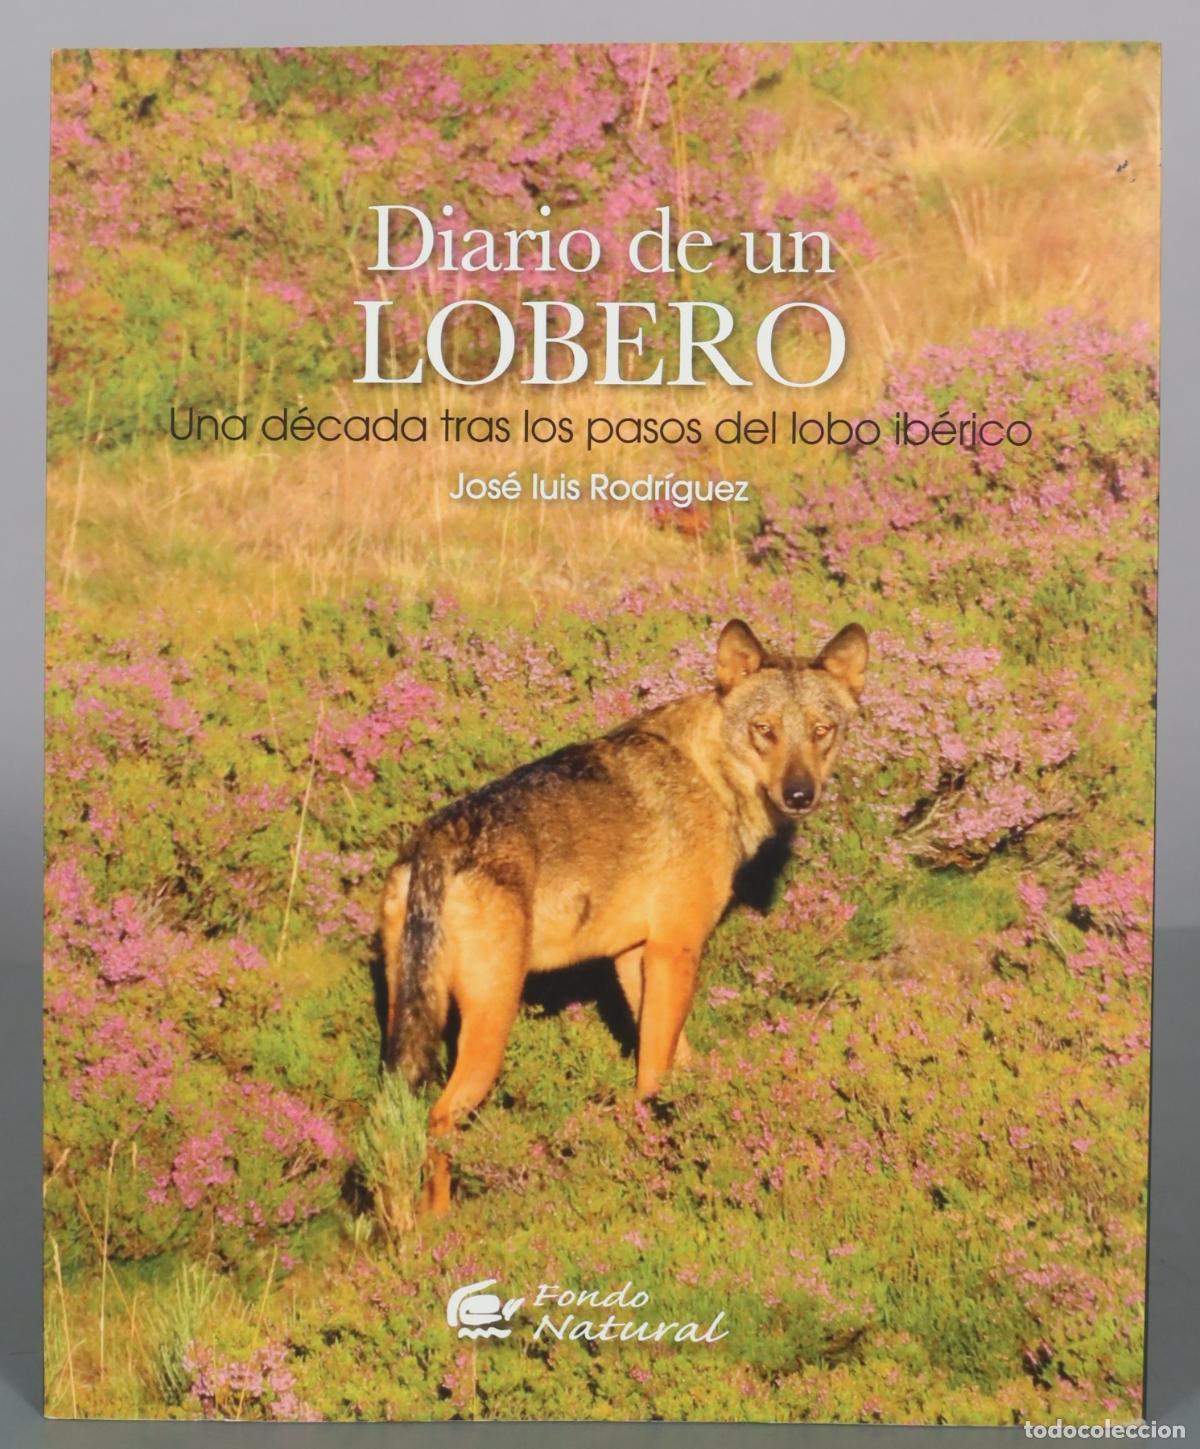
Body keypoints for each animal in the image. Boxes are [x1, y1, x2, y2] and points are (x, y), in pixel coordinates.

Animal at [379, 618, 868, 1139]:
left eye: (821, 730)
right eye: (764, 730)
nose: (799, 794)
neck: (712, 776)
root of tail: (435, 839)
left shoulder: (634, 956)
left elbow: (675, 1054)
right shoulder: (675, 949)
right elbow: (653, 1068)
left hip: (408, 1019)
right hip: (491, 1019)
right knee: (438, 1116)